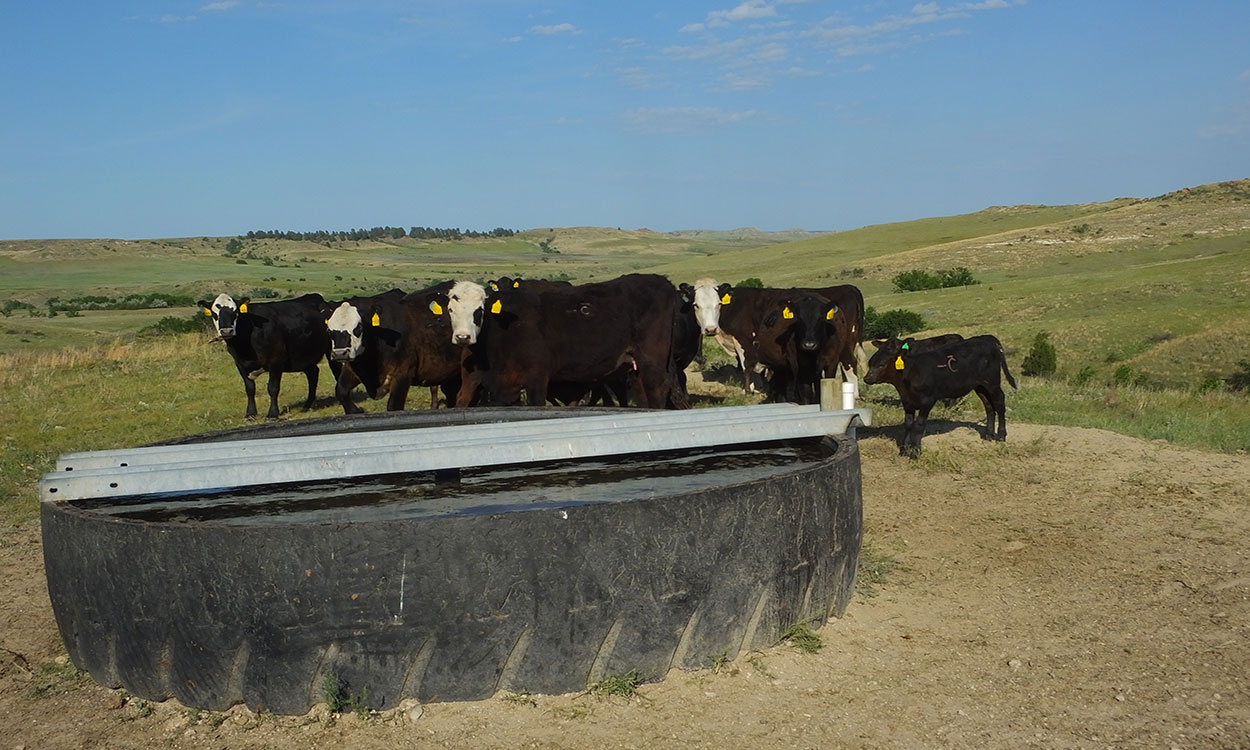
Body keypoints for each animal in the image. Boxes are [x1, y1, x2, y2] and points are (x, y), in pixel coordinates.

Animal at [195, 292, 335, 422]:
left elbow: (272, 388)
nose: (226, 331)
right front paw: (250, 414)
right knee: (313, 374)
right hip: (303, 356)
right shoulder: (239, 364)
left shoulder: (275, 362)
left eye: (235, 312)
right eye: (215, 314)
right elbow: (250, 388)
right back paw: (308, 404)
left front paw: (272, 414)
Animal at [322, 282, 465, 412]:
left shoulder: (402, 374)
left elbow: (394, 406)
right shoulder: (352, 368)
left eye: (359, 327)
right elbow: (341, 392)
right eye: (329, 330)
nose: (340, 353)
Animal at [865, 335, 1020, 457]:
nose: (867, 378)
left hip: (992, 382)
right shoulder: (907, 401)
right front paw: (904, 450)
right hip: (980, 386)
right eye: (871, 363)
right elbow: (908, 424)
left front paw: (915, 452)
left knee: (999, 403)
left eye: (882, 364)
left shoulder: (927, 400)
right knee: (988, 405)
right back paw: (988, 434)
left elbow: (919, 425)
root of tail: (987, 339)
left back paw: (1001, 435)